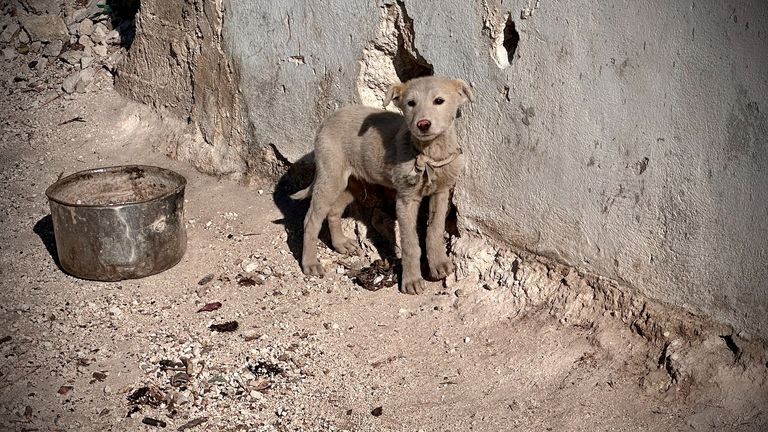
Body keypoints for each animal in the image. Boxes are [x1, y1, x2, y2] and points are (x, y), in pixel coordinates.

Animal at [294, 77, 474, 294]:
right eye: (411, 103)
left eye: (439, 101)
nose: (422, 124)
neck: (428, 153)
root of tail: (328, 119)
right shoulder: (405, 200)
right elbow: (410, 243)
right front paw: (411, 279)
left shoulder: (441, 193)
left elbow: (435, 230)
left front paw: (438, 263)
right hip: (330, 178)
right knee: (311, 220)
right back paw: (310, 263)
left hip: (351, 185)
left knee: (333, 211)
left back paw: (341, 244)